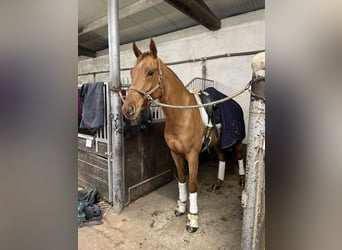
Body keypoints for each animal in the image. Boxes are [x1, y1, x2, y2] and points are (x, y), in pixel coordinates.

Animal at [121, 39, 244, 232]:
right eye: (131, 72)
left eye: (150, 72)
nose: (128, 109)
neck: (182, 115)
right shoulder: (175, 153)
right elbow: (181, 179)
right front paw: (181, 206)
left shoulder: (192, 156)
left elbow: (192, 184)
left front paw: (192, 218)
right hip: (217, 143)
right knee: (222, 157)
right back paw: (218, 183)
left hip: (237, 140)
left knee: (239, 156)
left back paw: (242, 181)